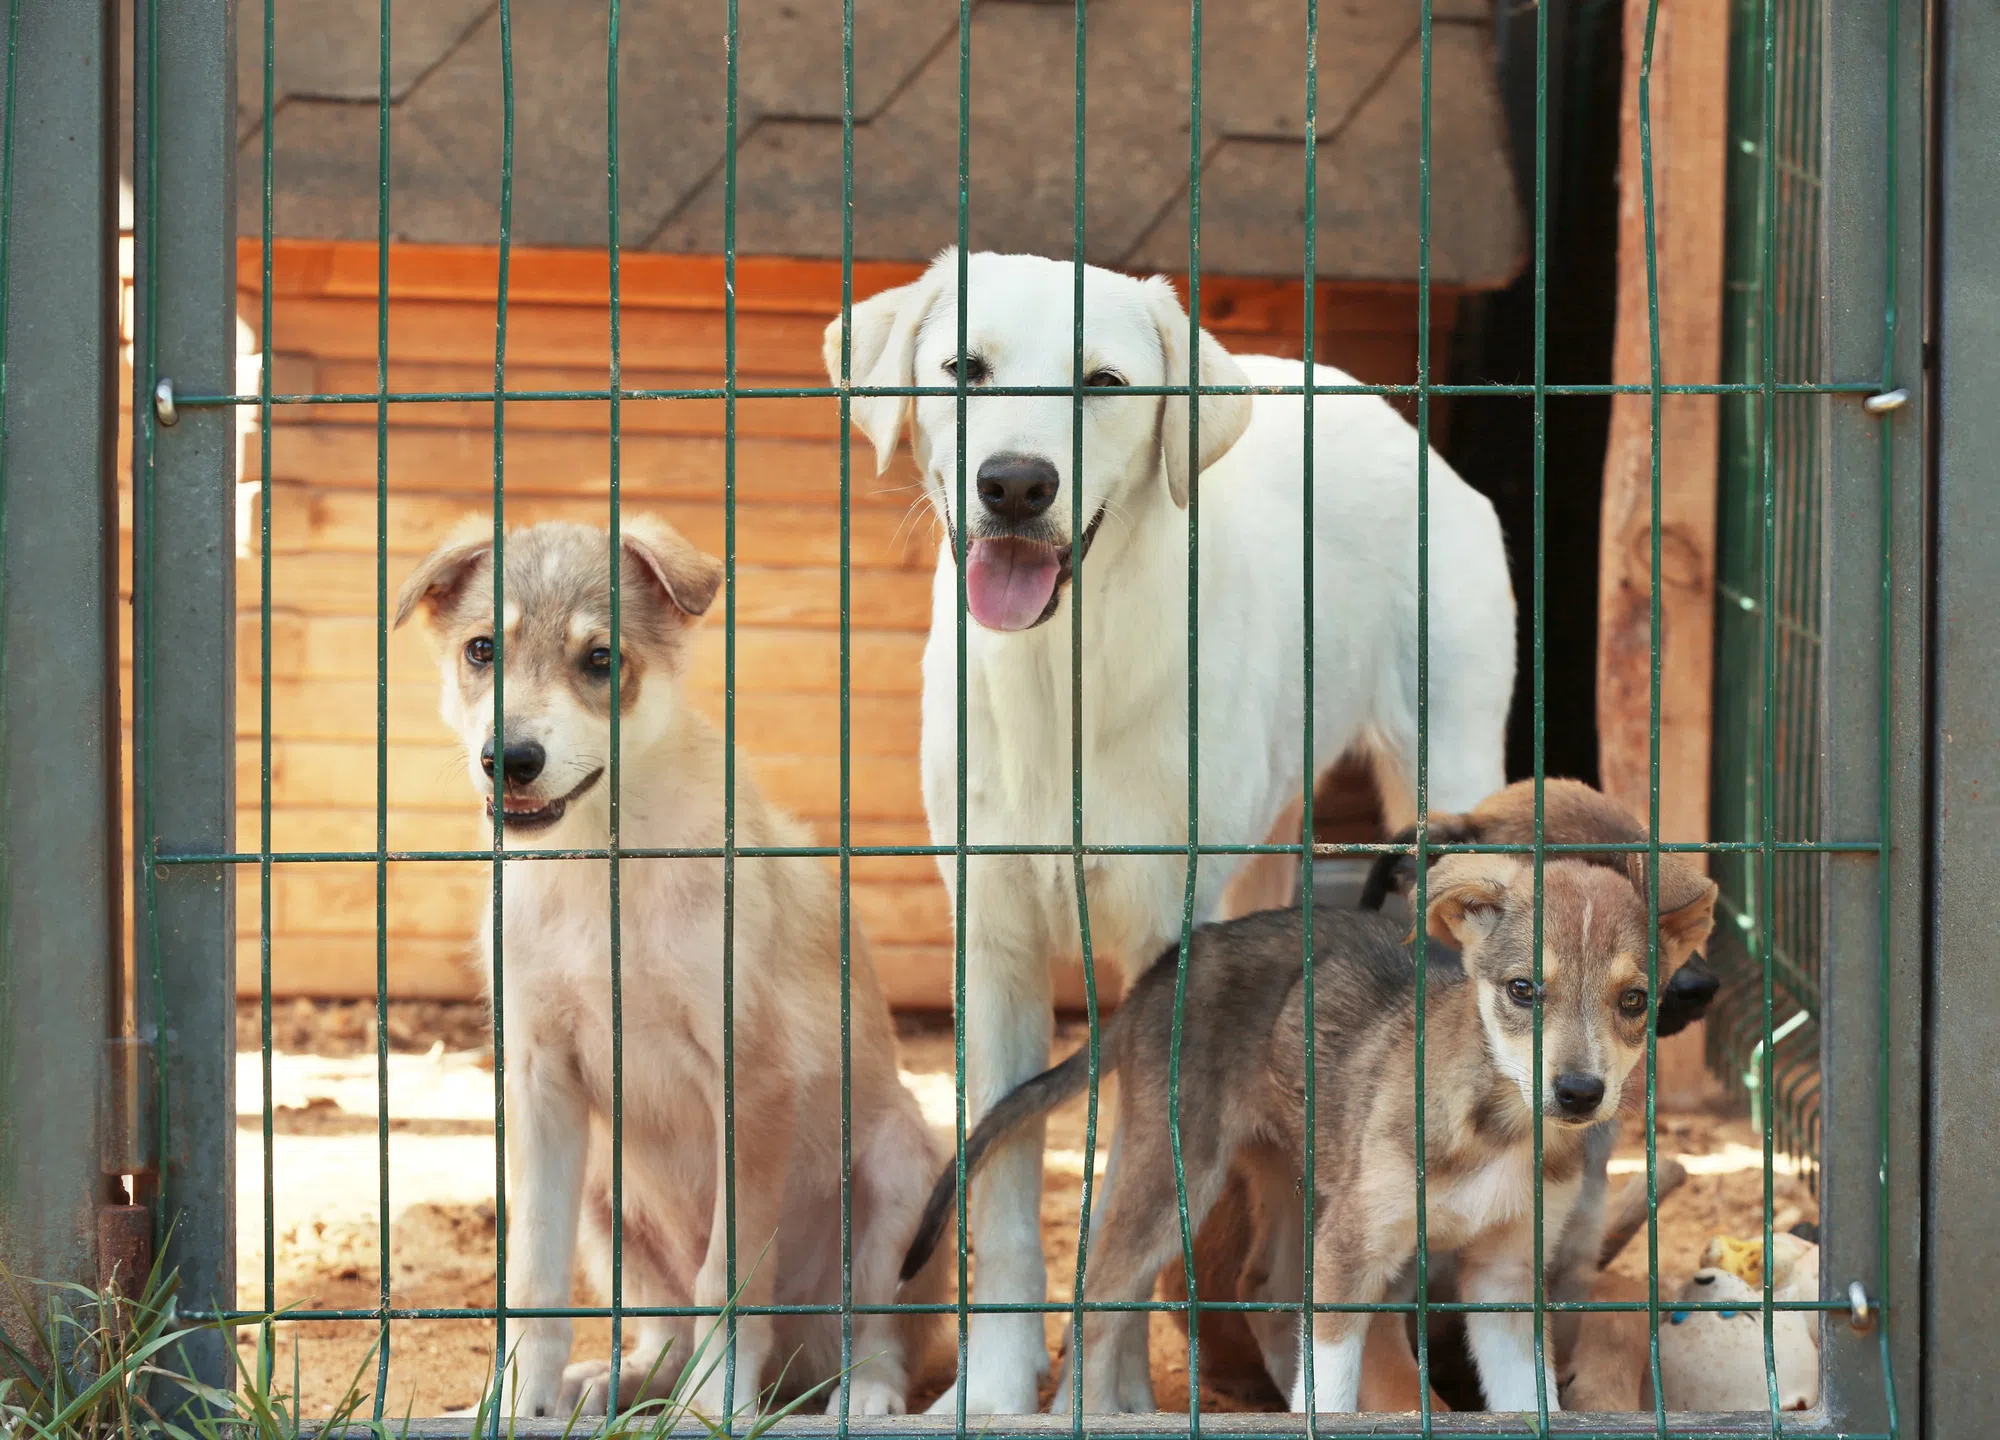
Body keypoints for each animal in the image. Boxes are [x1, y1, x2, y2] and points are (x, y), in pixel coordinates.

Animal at [400, 516, 952, 1416]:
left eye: (601, 660)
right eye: (482, 649)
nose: (509, 759)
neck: (598, 861)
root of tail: (796, 1371)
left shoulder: (750, 1077)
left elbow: (727, 1276)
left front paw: (716, 1407)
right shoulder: (540, 1081)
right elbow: (534, 1281)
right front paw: (519, 1401)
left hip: (903, 1169)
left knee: (877, 1334)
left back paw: (861, 1394)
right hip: (606, 1197)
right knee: (664, 1334)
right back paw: (610, 1382)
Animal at [820, 250, 1504, 1416]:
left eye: (1103, 382)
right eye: (965, 368)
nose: (1016, 484)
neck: (1061, 677)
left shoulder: (1163, 949)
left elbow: (1133, 1208)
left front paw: (1116, 1396)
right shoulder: (991, 947)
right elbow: (1002, 1191)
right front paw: (993, 1391)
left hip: (1447, 771)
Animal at [900, 848, 1712, 1408]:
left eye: (1634, 1001)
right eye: (1523, 990)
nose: (1578, 1094)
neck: (1497, 1126)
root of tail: (1160, 972)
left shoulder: (1506, 1280)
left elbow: (1528, 1399)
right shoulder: (1355, 1253)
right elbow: (1338, 1390)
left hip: (1295, 1177)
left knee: (1265, 1284)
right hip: (1177, 1173)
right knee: (1099, 1299)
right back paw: (1094, 1411)